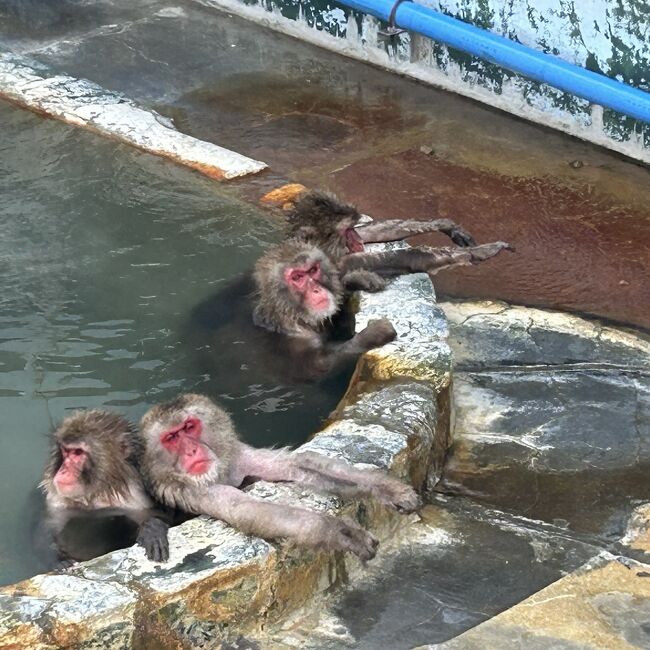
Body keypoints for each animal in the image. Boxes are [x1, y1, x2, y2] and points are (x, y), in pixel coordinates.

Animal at [37, 410, 170, 568]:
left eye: (78, 452)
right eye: (65, 451)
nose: (63, 470)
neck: (99, 491)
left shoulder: (137, 499)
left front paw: (151, 527)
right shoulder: (56, 499)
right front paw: (58, 561)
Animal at [139, 392, 418, 560]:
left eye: (189, 427)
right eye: (171, 438)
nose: (192, 451)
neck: (220, 472)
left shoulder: (238, 457)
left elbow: (297, 467)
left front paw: (386, 489)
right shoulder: (192, 490)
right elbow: (250, 510)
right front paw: (343, 533)